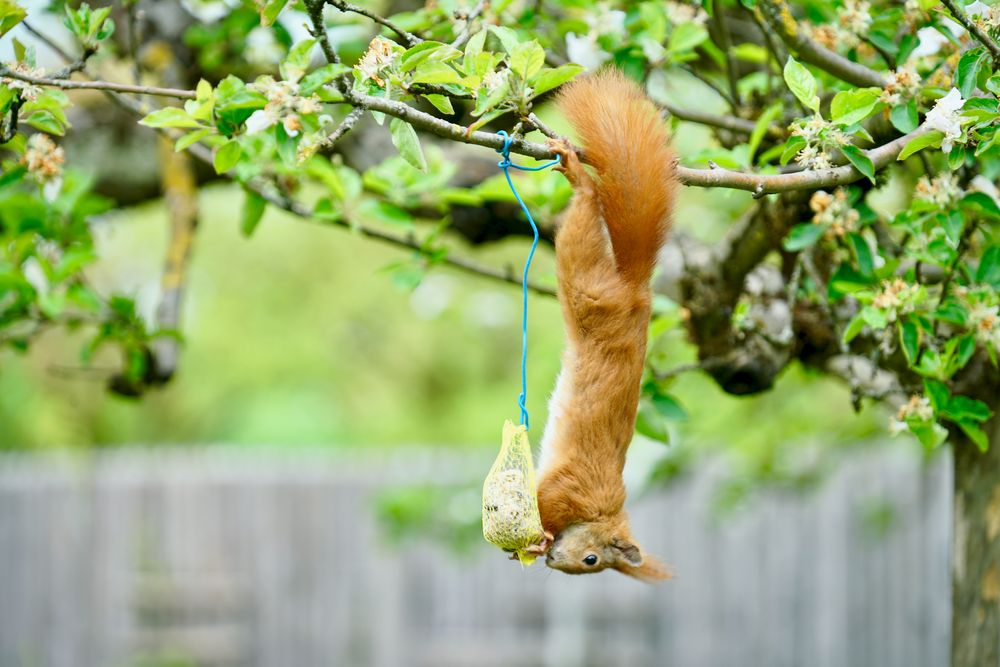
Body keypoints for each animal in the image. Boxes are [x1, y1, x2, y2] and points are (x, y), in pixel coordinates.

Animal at [536, 66, 676, 580]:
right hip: (588, 286)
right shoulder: (570, 487)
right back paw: (580, 179)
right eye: (593, 558)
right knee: (587, 204)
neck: (598, 511)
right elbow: (542, 500)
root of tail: (637, 290)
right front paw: (535, 535)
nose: (553, 560)